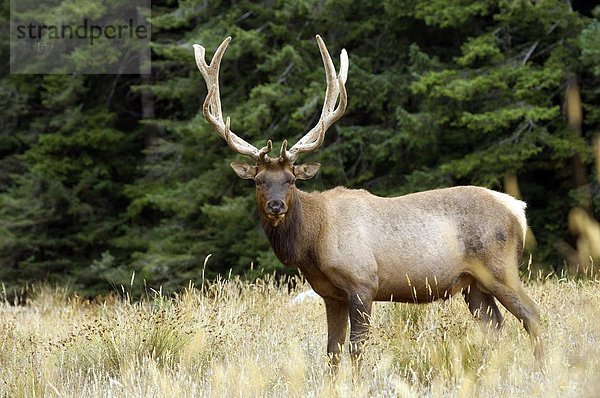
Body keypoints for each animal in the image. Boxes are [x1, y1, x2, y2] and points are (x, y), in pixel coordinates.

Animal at [193, 34, 544, 366]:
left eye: (291, 180)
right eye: (258, 181)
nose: (275, 205)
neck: (314, 240)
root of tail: (518, 208)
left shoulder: (363, 283)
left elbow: (356, 349)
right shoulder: (330, 294)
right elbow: (333, 351)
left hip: (499, 267)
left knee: (532, 314)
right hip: (472, 284)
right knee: (495, 326)